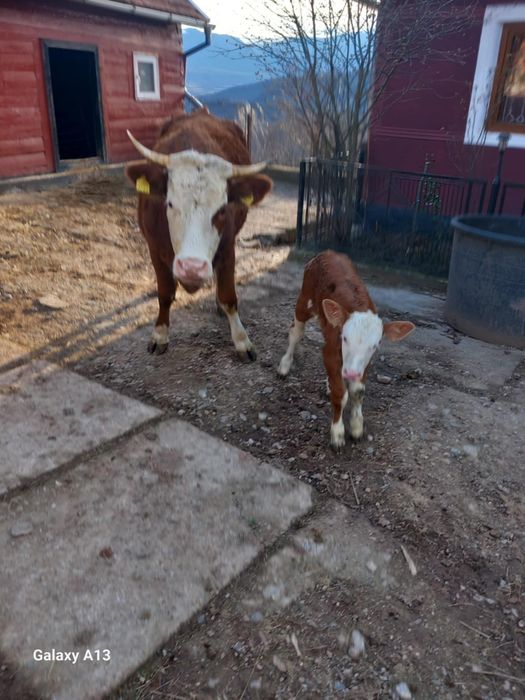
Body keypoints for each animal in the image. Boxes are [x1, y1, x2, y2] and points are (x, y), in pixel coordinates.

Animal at [125, 109, 272, 360]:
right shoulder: (154, 248)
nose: (192, 267)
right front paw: (160, 335)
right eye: (170, 203)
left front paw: (241, 340)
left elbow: (228, 297)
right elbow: (164, 294)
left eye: (222, 210)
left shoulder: (228, 248)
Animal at [278, 251, 415, 450]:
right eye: (345, 338)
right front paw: (337, 433)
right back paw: (284, 366)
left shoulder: (364, 364)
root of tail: (327, 252)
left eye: (375, 346)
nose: (350, 373)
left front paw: (357, 426)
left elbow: (357, 391)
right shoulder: (330, 352)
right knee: (296, 332)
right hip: (304, 300)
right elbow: (340, 394)